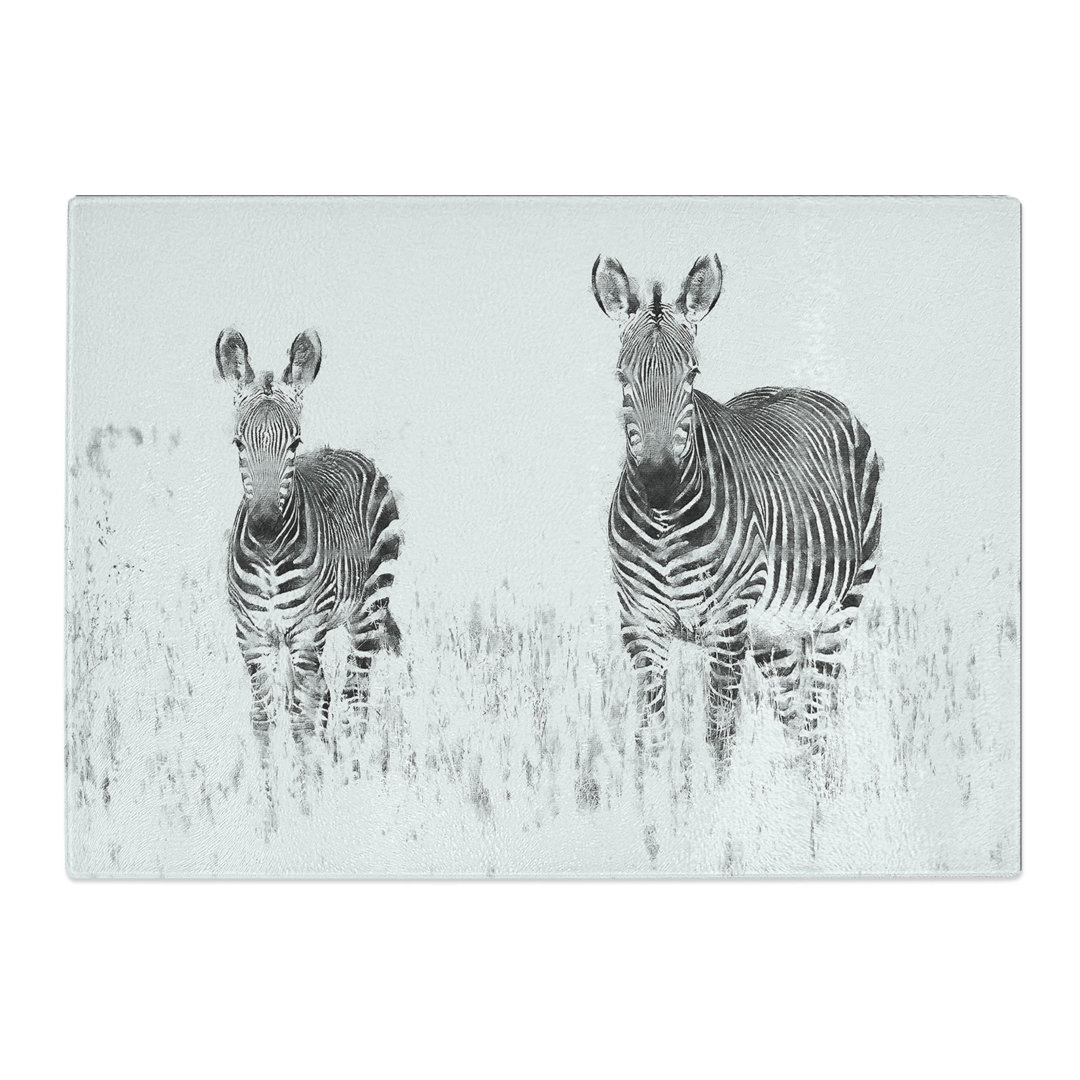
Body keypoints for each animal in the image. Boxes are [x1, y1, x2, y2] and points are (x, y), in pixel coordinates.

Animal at [215, 328, 401, 736]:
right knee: (330, 697)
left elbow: (301, 719)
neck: (270, 557)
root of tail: (344, 450)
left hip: (368, 610)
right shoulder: (252, 635)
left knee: (354, 698)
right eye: (238, 442)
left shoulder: (305, 632)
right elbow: (264, 717)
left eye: (295, 442)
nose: (265, 524)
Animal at [592, 254, 881, 770]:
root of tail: (799, 387)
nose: (659, 482)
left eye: (692, 375)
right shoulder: (639, 625)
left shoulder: (727, 624)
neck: (665, 526)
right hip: (773, 636)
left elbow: (719, 737)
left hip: (837, 613)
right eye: (621, 377)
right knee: (796, 724)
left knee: (817, 724)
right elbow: (652, 738)